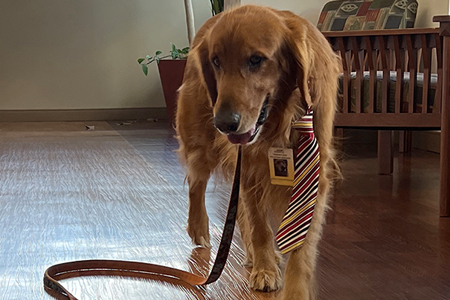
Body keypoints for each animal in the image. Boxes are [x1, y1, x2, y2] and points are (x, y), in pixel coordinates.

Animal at [174, 4, 340, 300]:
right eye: (216, 61)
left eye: (256, 60)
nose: (224, 123)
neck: (284, 115)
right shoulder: (251, 165)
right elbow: (260, 226)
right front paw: (265, 270)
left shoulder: (315, 172)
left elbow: (301, 243)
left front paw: (296, 289)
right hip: (200, 144)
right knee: (196, 183)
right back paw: (200, 228)